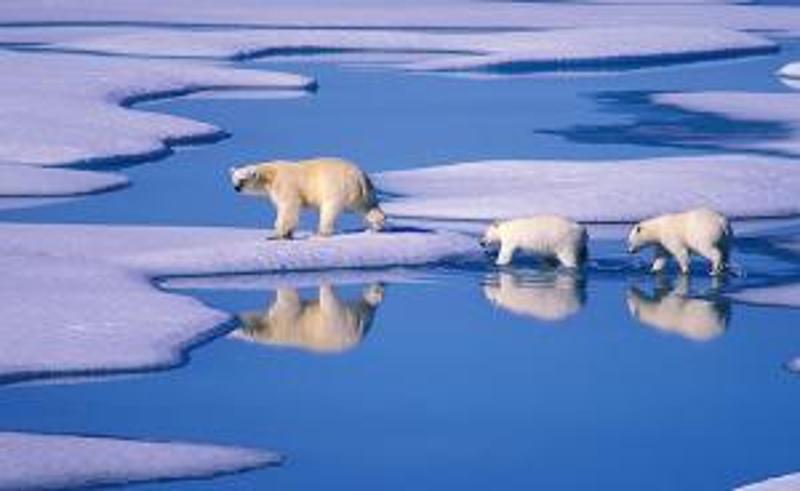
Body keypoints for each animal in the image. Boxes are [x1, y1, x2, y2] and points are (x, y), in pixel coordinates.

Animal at [230, 157, 386, 239]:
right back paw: (376, 226)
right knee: (368, 207)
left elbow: (288, 207)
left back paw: (321, 232)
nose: (236, 188)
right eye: (234, 179)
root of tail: (360, 176)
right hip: (364, 192)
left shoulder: (286, 185)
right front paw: (287, 234)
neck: (271, 175)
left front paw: (278, 234)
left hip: (335, 187)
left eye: (243, 179)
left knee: (329, 210)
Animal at [231, 284, 384, 354]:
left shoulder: (285, 318)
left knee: (328, 301)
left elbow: (289, 300)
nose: (237, 316)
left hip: (339, 322)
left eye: (242, 329)